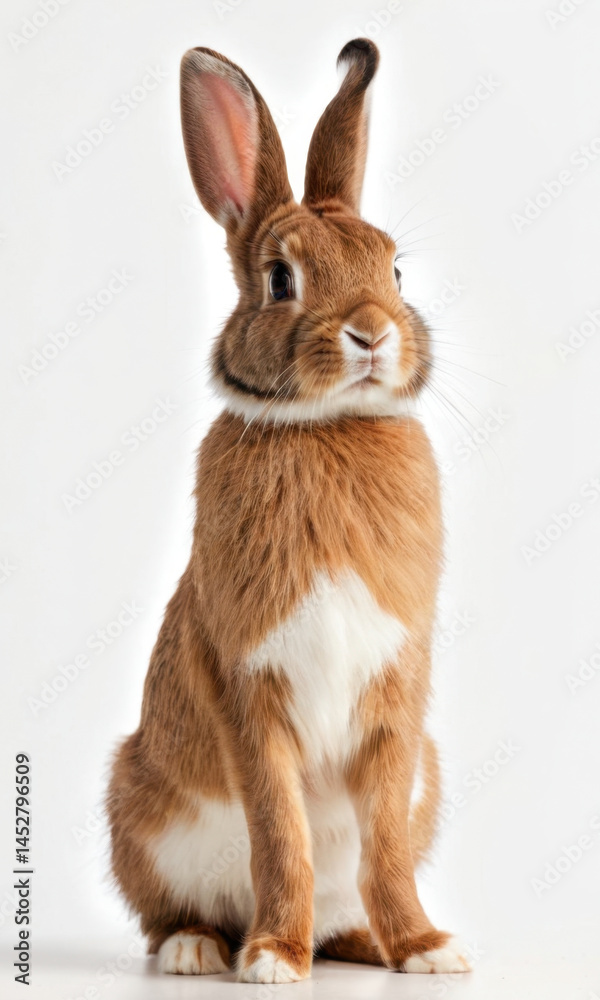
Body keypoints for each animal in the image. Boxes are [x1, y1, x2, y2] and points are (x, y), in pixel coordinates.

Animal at [106, 38, 471, 984]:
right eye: (280, 279)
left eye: (394, 267)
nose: (373, 331)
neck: (323, 424)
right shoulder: (248, 685)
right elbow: (279, 834)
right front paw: (273, 960)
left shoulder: (396, 696)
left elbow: (385, 847)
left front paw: (427, 950)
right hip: (138, 805)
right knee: (168, 912)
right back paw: (207, 949)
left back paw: (358, 944)